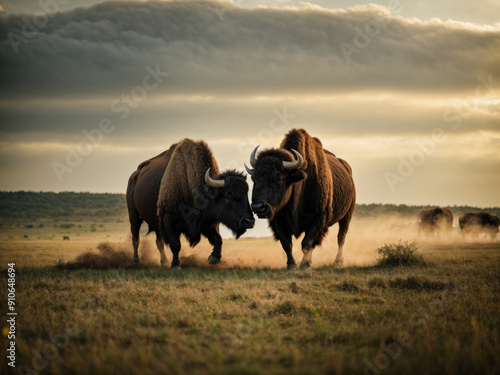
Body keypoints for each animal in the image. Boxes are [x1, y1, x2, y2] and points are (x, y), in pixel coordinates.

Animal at [127, 140, 256, 268]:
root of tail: (134, 176)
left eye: (247, 195)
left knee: (159, 242)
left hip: (156, 222)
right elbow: (175, 245)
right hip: (134, 215)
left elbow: (217, 239)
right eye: (228, 196)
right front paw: (175, 265)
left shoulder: (205, 223)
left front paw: (213, 258)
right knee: (136, 238)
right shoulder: (169, 221)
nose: (249, 221)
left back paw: (163, 262)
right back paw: (136, 260)